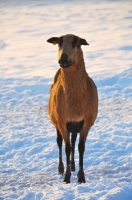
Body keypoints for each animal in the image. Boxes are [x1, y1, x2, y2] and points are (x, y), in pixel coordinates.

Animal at [47, 34, 97, 183]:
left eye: (77, 43)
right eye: (59, 43)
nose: (63, 59)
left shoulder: (86, 122)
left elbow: (81, 147)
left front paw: (81, 177)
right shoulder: (62, 122)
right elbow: (67, 148)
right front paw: (67, 177)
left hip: (74, 126)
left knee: (74, 141)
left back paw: (74, 166)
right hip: (57, 122)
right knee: (59, 143)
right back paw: (61, 168)